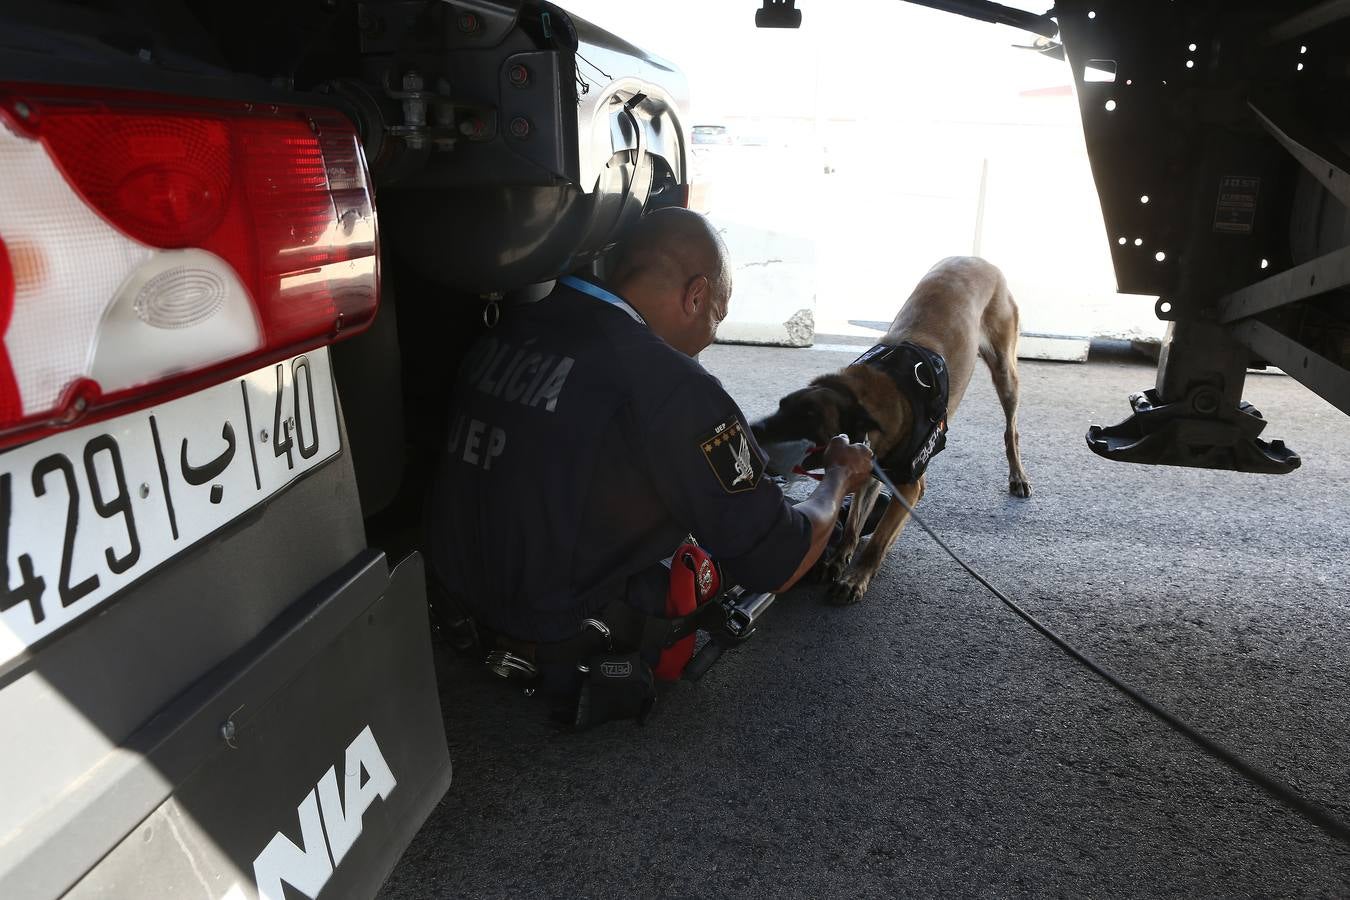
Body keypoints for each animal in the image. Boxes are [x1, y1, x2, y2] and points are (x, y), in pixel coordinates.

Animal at [750, 253, 1031, 604]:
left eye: (808, 421)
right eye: (781, 406)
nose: (752, 429)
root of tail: (978, 260)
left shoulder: (910, 487)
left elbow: (877, 541)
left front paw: (855, 578)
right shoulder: (870, 466)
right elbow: (854, 523)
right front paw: (836, 560)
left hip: (1005, 373)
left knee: (1011, 428)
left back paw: (1018, 476)